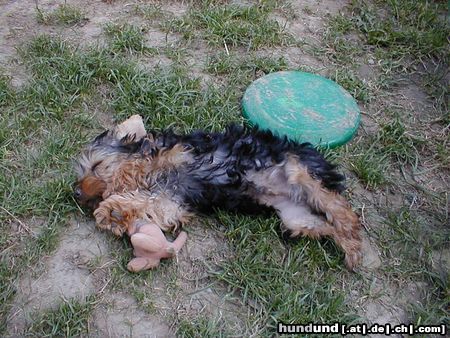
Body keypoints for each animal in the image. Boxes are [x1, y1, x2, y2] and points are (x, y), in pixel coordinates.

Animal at [74, 116, 362, 270]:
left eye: (97, 166)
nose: (75, 192)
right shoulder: (172, 200)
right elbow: (152, 203)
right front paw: (116, 213)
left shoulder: (180, 155)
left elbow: (137, 173)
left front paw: (113, 206)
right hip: (295, 218)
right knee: (326, 224)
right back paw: (350, 247)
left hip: (297, 168)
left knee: (338, 206)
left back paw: (351, 240)